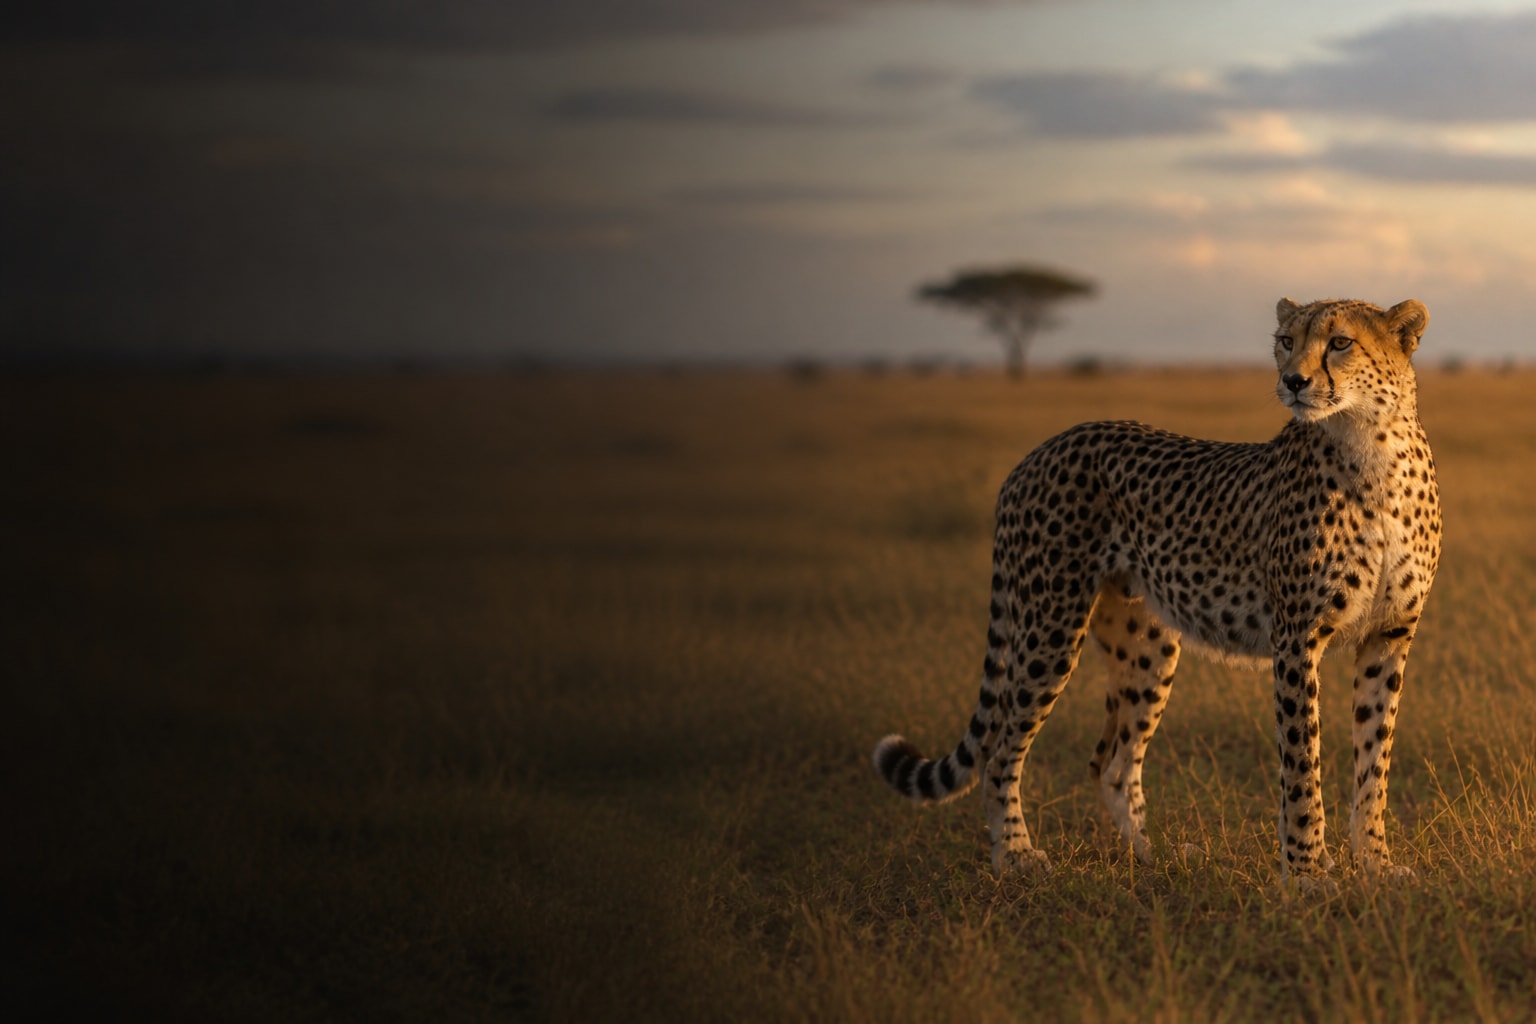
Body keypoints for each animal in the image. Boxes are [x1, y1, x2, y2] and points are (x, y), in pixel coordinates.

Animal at [873, 297, 1441, 885]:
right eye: (1286, 340)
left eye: (1341, 343)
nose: (1293, 380)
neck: (1371, 446)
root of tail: (1041, 449)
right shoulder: (1297, 637)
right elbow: (1302, 760)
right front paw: (1307, 872)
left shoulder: (1388, 636)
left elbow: (1373, 759)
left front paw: (1375, 864)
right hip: (1050, 626)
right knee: (1002, 751)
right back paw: (1016, 856)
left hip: (1146, 644)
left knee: (1112, 762)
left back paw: (1155, 858)